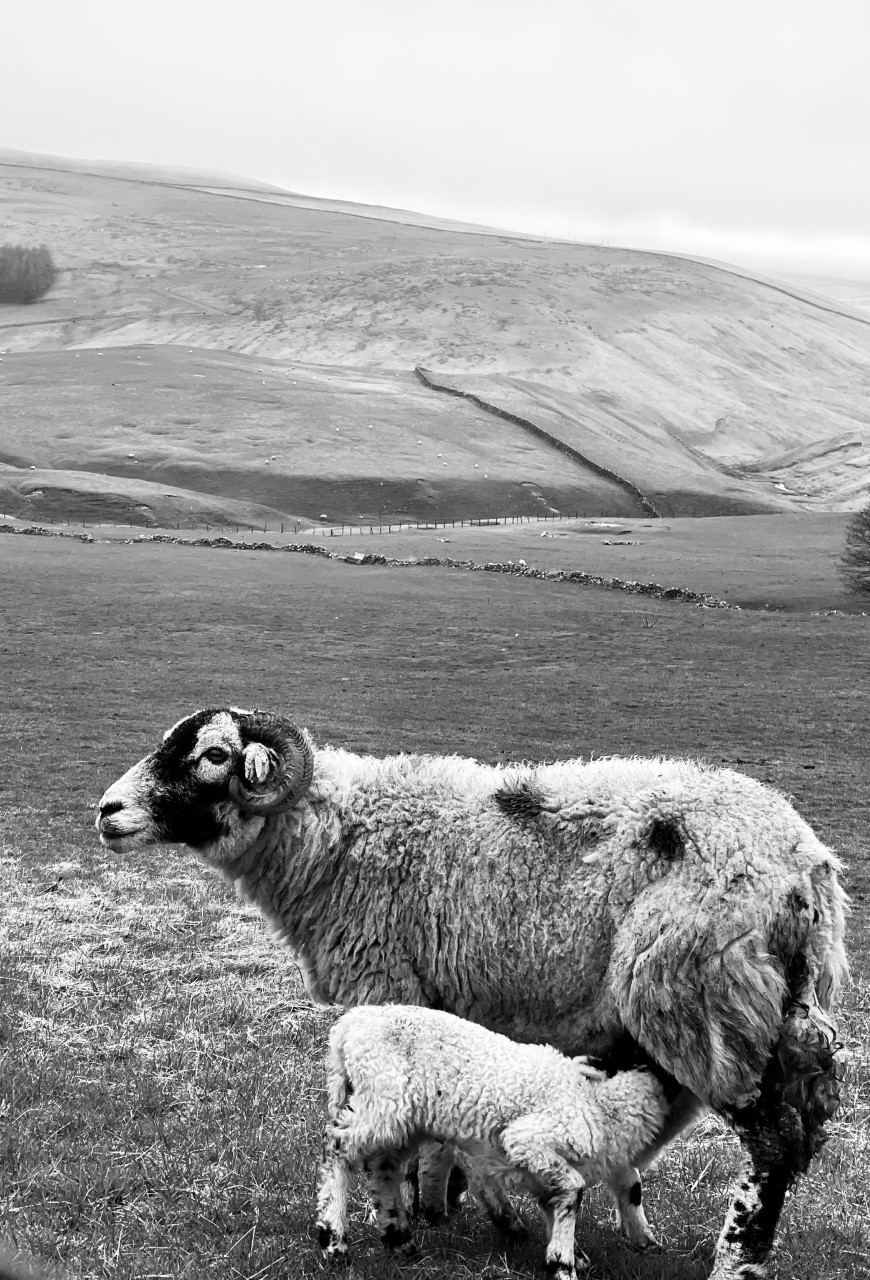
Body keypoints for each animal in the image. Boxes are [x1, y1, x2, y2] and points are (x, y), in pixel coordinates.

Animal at [316, 1004, 669, 1277]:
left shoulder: (541, 1165)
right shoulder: (528, 1140)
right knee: (336, 1149)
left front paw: (635, 1244)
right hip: (384, 1100)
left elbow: (607, 1190)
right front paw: (562, 1263)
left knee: (382, 1168)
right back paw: (334, 1240)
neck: (594, 1099)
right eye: (636, 1050)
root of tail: (347, 1027)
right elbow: (574, 1190)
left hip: (400, 1119)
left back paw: (400, 1241)